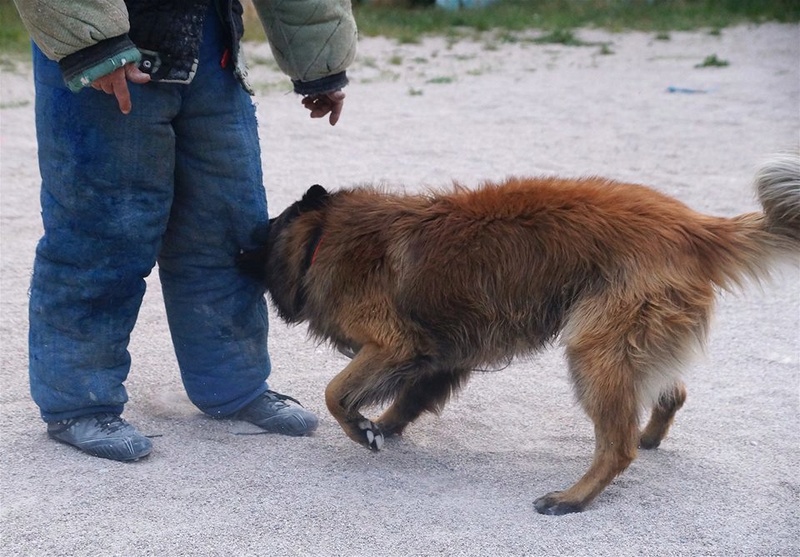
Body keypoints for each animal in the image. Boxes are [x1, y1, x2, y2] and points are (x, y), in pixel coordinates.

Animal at [239, 152, 800, 512]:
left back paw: (572, 498)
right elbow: (408, 398)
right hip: (631, 347)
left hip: (593, 350)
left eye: (264, 232)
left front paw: (362, 428)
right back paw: (649, 435)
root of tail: (693, 226)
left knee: (616, 446)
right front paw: (384, 425)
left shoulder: (393, 344)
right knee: (670, 393)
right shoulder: (439, 355)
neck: (324, 236)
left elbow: (335, 393)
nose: (235, 250)